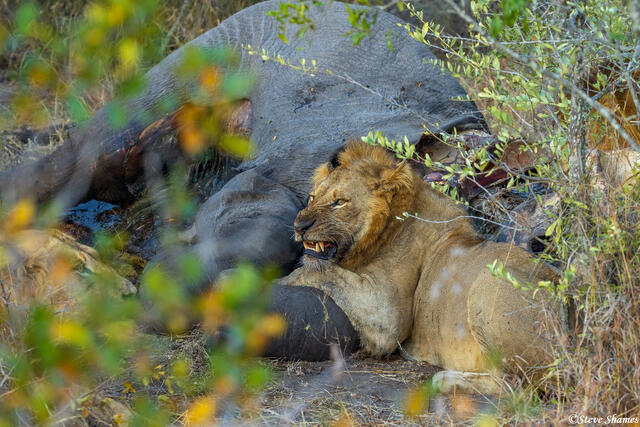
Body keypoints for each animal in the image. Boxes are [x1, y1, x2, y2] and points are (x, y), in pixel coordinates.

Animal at [279, 141, 564, 394]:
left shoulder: (386, 315)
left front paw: (278, 283)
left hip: (488, 282)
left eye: (340, 202)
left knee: (516, 387)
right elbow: (321, 270)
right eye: (312, 198)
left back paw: (446, 380)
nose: (299, 226)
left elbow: (320, 272)